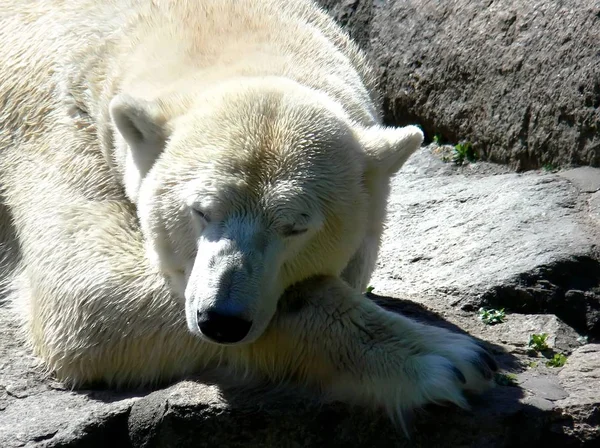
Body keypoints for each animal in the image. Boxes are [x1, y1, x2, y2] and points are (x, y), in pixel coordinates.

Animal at [0, 0, 496, 420]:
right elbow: (91, 292)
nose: (221, 321)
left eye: (296, 226)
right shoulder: (63, 121)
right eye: (201, 210)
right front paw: (447, 358)